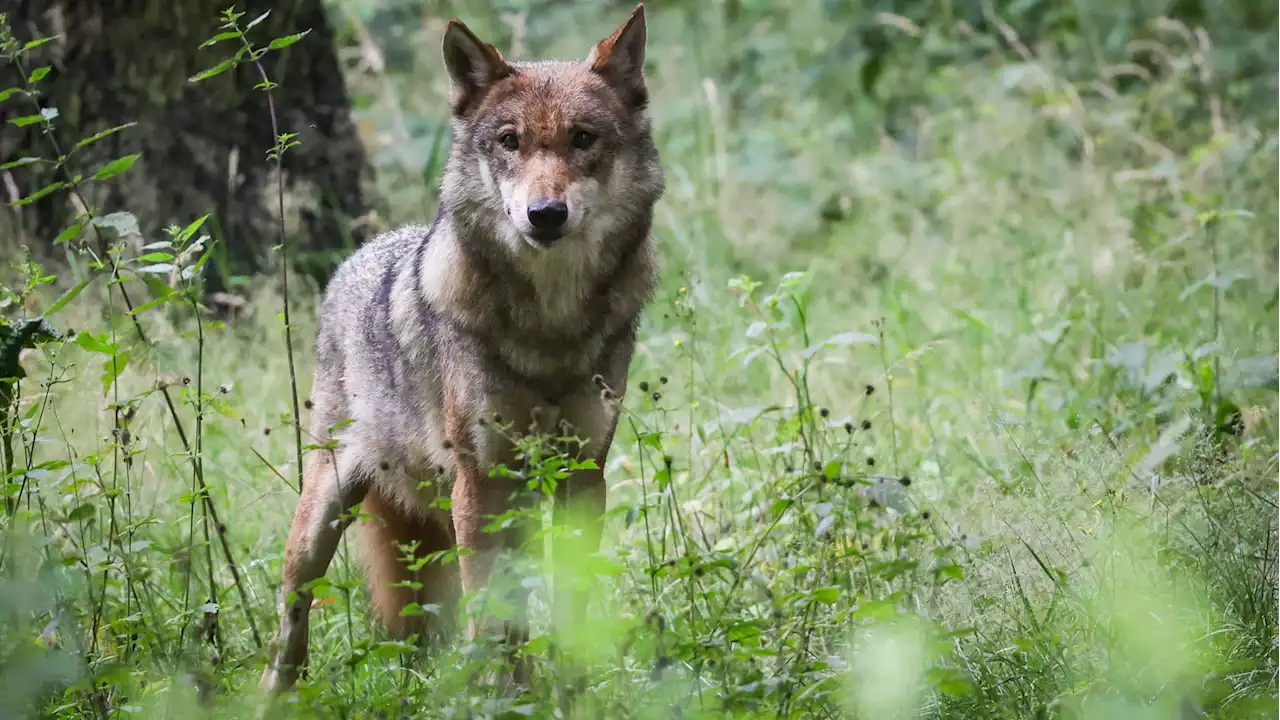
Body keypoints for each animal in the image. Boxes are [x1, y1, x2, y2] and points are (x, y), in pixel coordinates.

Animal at [257, 2, 660, 691]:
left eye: (583, 138)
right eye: (510, 141)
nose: (545, 214)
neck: (550, 327)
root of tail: (358, 257)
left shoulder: (583, 474)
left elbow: (569, 603)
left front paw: (573, 689)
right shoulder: (480, 480)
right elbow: (488, 612)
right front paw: (498, 694)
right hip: (324, 517)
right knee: (292, 617)